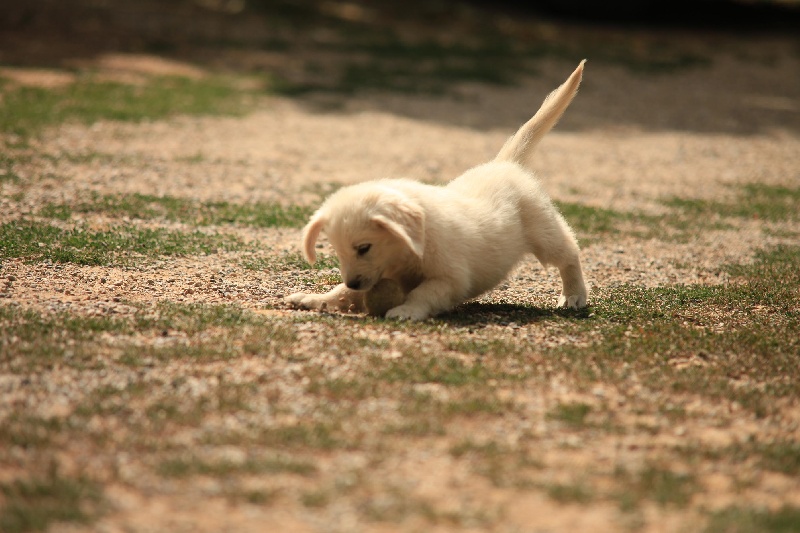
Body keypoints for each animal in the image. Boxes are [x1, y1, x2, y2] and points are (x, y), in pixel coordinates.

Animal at [288, 62, 588, 320]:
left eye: (364, 248)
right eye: (337, 251)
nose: (353, 281)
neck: (410, 248)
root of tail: (505, 163)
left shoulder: (450, 278)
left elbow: (425, 293)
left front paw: (406, 311)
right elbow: (341, 292)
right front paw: (315, 299)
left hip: (544, 233)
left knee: (570, 253)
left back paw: (573, 296)